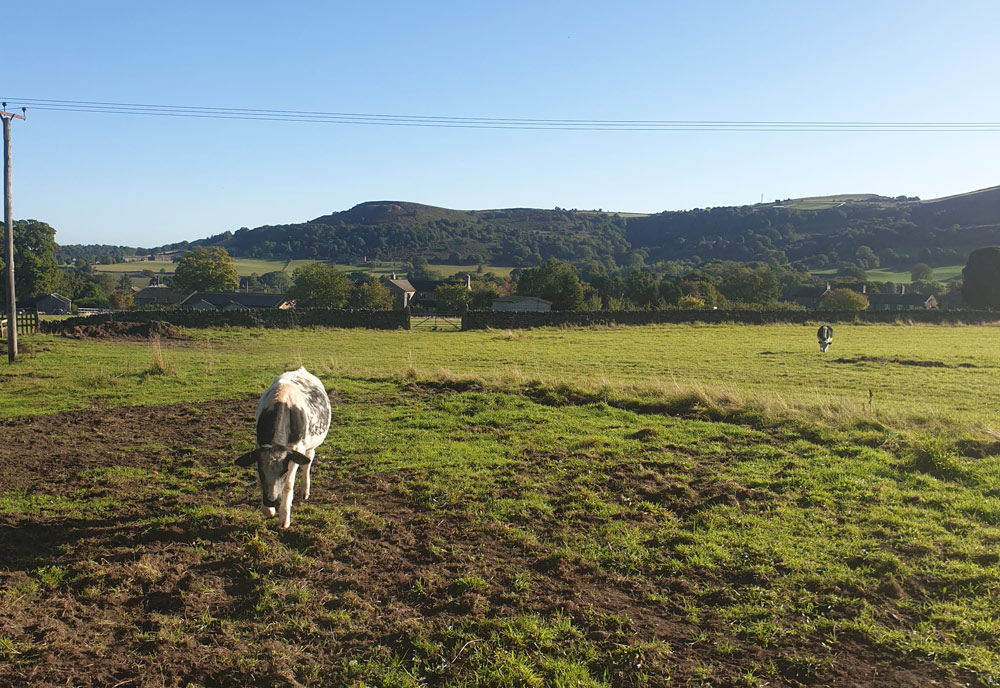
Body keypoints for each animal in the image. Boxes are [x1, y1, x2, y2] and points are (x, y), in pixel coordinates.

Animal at [234, 368, 332, 528]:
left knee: (308, 461)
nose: (272, 500)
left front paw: (284, 517)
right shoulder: (258, 445)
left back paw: (305, 490)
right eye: (260, 470)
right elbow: (260, 483)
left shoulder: (295, 451)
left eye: (284, 471)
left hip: (310, 445)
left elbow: (288, 485)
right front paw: (268, 510)